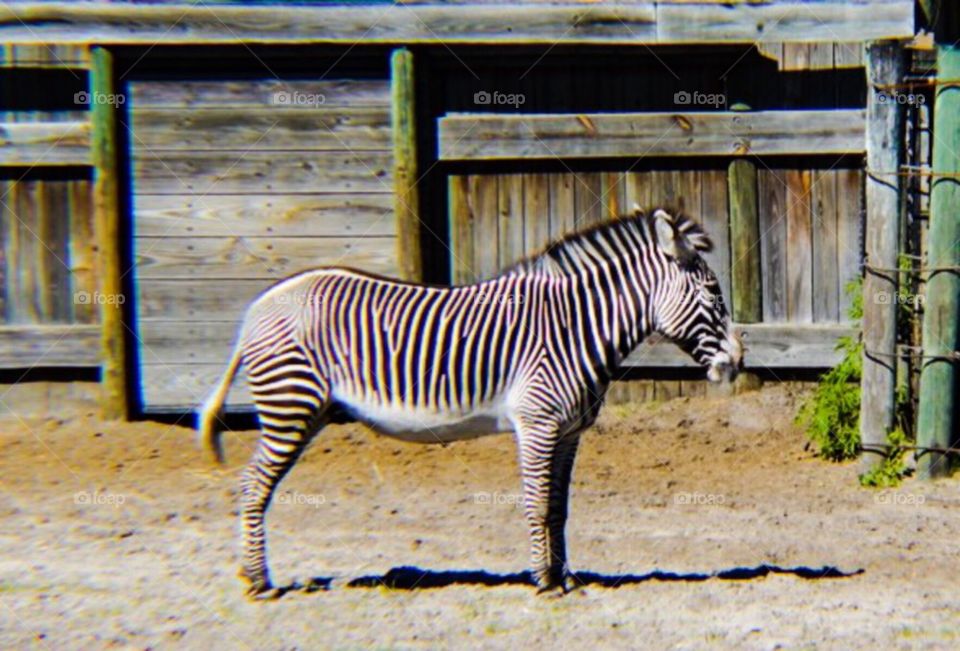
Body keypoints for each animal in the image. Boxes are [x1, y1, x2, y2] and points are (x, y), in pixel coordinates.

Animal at [198, 206, 742, 599]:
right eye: (713, 292)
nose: (737, 360)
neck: (575, 329)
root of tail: (259, 305)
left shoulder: (567, 432)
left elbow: (559, 509)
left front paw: (566, 576)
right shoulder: (538, 424)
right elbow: (536, 504)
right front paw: (543, 582)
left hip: (305, 412)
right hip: (289, 408)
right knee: (252, 486)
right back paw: (258, 582)